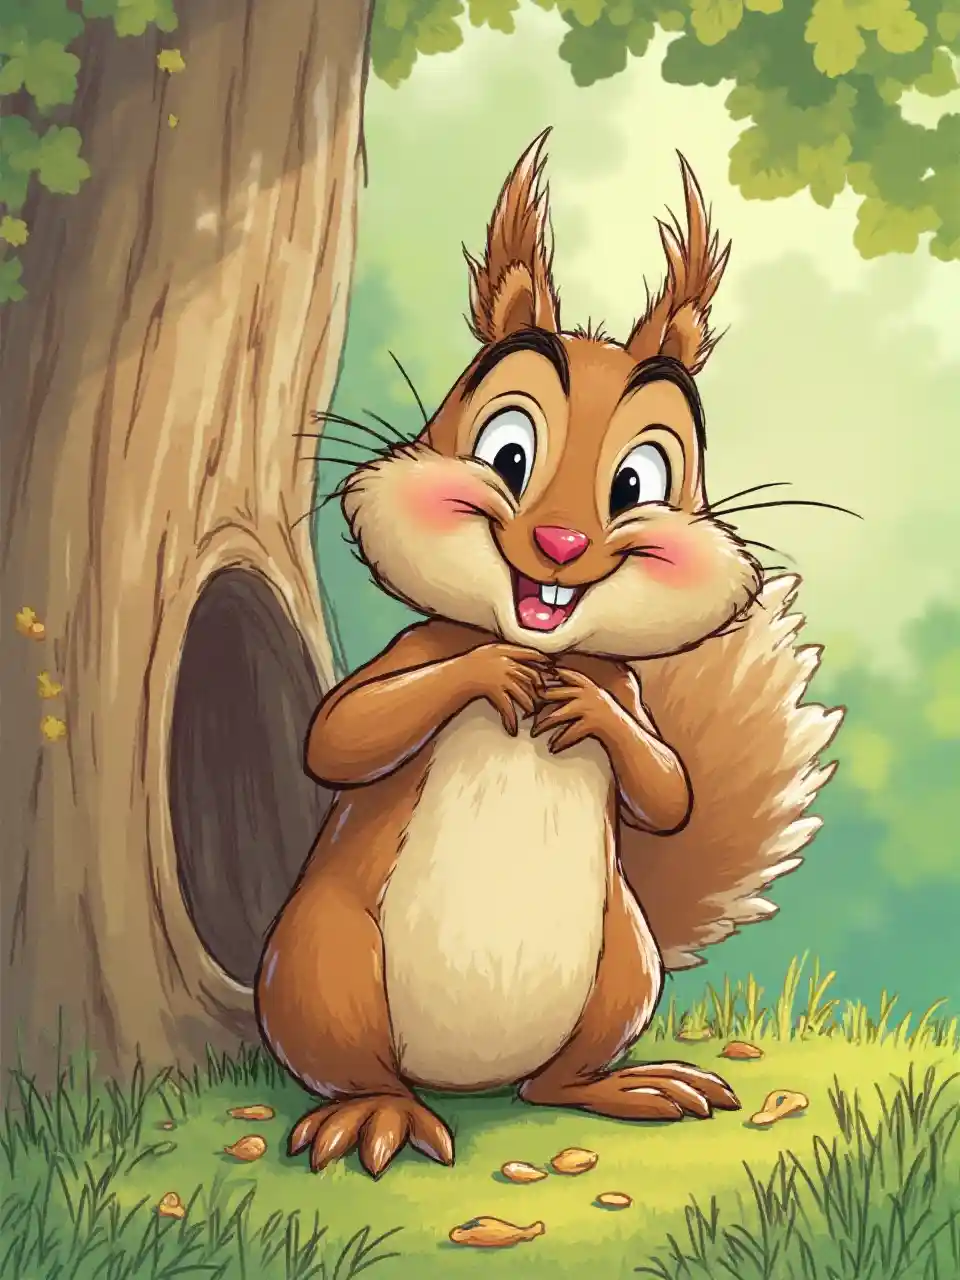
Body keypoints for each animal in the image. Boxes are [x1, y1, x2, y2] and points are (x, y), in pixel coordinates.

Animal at [255, 129, 844, 1179]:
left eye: (639, 482)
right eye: (507, 453)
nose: (563, 545)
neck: (544, 645)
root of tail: (467, 1081)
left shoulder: (627, 688)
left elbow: (667, 786)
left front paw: (585, 712)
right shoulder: (413, 644)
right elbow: (342, 731)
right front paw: (488, 674)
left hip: (621, 965)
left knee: (552, 1085)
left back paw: (629, 1087)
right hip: (322, 963)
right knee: (359, 1066)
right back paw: (373, 1114)